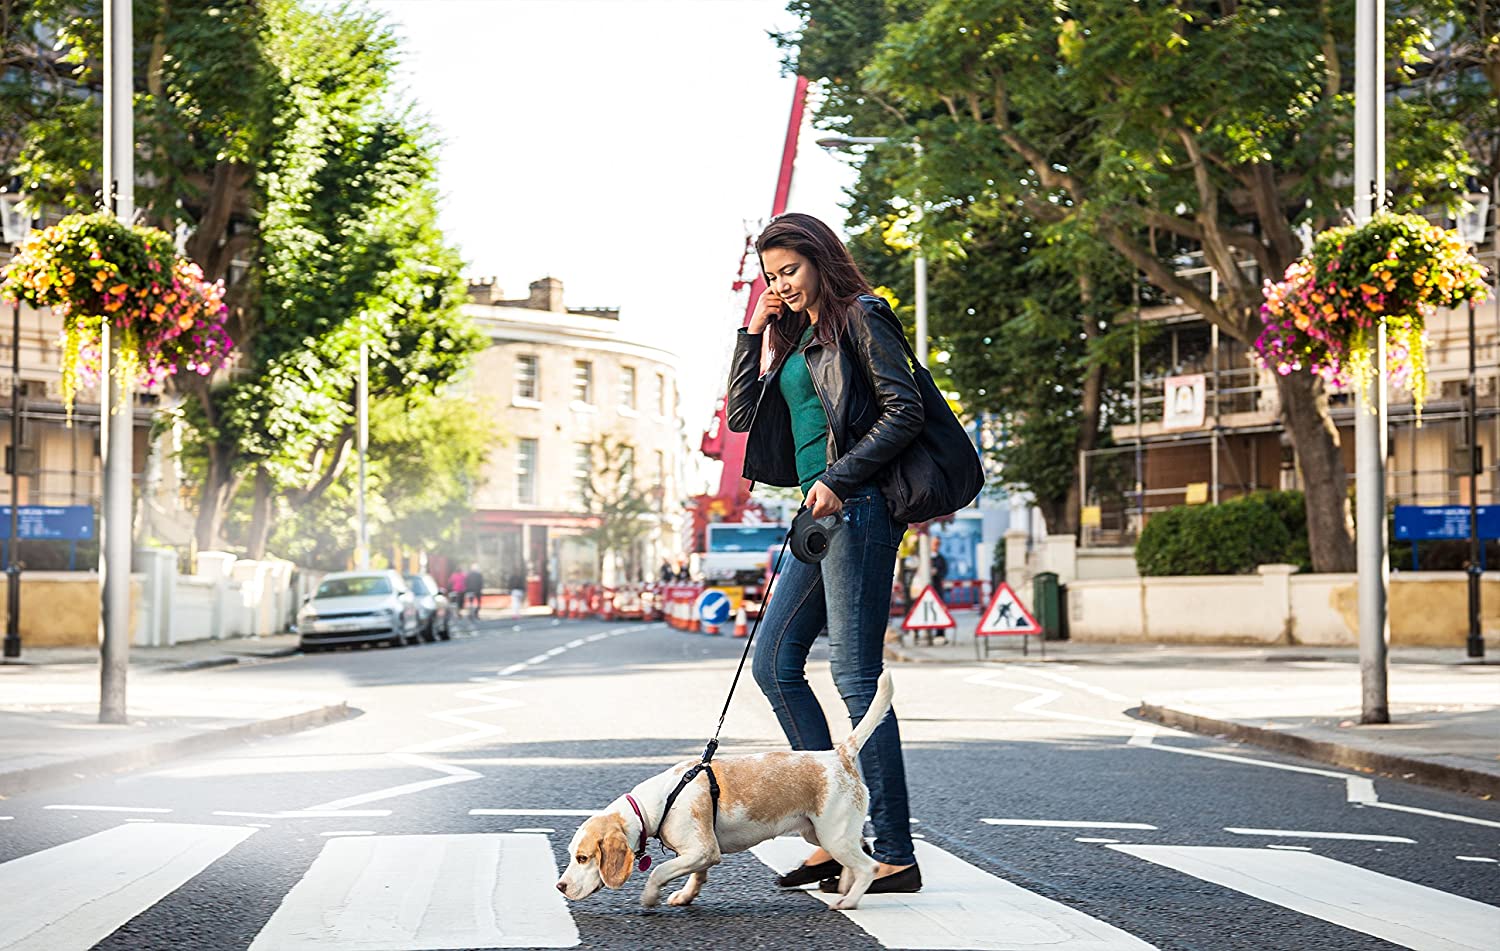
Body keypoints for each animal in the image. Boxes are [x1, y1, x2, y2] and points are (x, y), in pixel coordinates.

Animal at [561, 669, 888, 906]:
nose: (559, 886)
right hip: (819, 834)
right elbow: (696, 877)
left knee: (868, 867)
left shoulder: (702, 850)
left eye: (583, 858)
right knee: (859, 855)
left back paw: (849, 900)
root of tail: (840, 755)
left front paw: (650, 896)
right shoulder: (702, 853)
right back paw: (844, 886)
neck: (662, 800)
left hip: (834, 837)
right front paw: (685, 896)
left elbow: (658, 871)